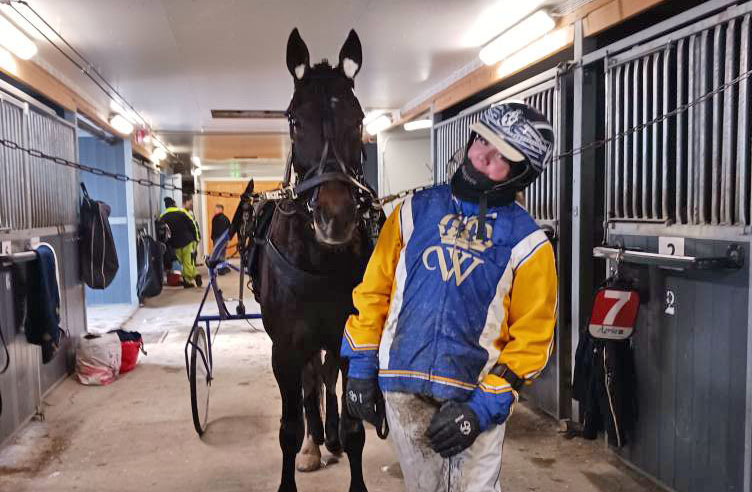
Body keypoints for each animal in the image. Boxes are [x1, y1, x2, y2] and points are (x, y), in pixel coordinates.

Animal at [256, 28, 376, 490]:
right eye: (294, 120)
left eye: (359, 120)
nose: (335, 216)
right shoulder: (286, 348)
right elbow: (288, 427)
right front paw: (303, 447)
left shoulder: (347, 340)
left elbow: (356, 428)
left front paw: (342, 439)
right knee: (311, 384)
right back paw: (314, 442)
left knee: (324, 380)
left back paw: (330, 436)